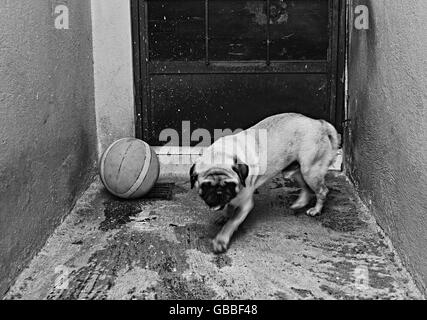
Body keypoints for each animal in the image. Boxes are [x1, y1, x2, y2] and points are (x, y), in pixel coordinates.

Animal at [189, 114, 340, 254]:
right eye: (205, 186)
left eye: (230, 185)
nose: (219, 192)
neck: (220, 154)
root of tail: (319, 123)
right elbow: (229, 207)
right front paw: (225, 215)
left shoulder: (244, 204)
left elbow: (231, 223)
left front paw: (221, 240)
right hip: (297, 171)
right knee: (305, 188)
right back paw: (300, 203)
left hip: (310, 171)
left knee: (322, 191)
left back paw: (316, 210)